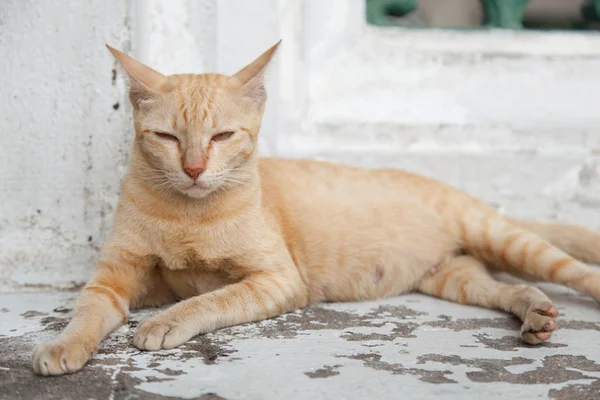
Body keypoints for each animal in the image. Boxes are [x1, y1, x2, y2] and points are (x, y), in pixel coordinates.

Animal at [30, 40, 600, 376]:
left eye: (221, 136)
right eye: (168, 138)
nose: (192, 169)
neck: (186, 214)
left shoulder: (278, 280)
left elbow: (209, 299)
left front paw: (166, 321)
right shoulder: (114, 279)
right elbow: (86, 313)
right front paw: (62, 346)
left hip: (506, 240)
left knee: (571, 271)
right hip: (454, 277)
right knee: (510, 289)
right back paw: (537, 319)